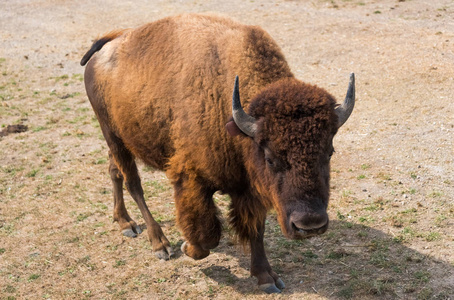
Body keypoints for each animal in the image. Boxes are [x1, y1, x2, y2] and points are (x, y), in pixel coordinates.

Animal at [80, 14, 354, 292]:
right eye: (270, 158)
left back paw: (125, 222)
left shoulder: (250, 188)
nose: (310, 224)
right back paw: (160, 244)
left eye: (329, 152)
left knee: (114, 171)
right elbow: (208, 235)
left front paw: (267, 277)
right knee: (134, 184)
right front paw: (187, 247)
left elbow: (256, 230)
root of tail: (107, 44)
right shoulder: (191, 180)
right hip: (113, 136)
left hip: (117, 141)